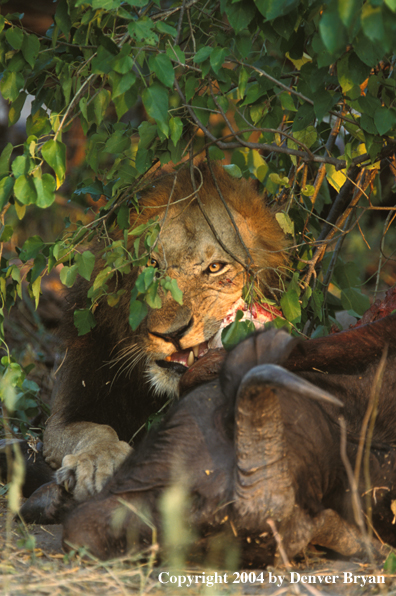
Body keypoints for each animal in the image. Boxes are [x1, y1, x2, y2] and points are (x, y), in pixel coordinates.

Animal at [43, 161, 286, 500]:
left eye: (215, 267)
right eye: (152, 264)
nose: (171, 334)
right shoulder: (63, 413)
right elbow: (97, 429)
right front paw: (97, 463)